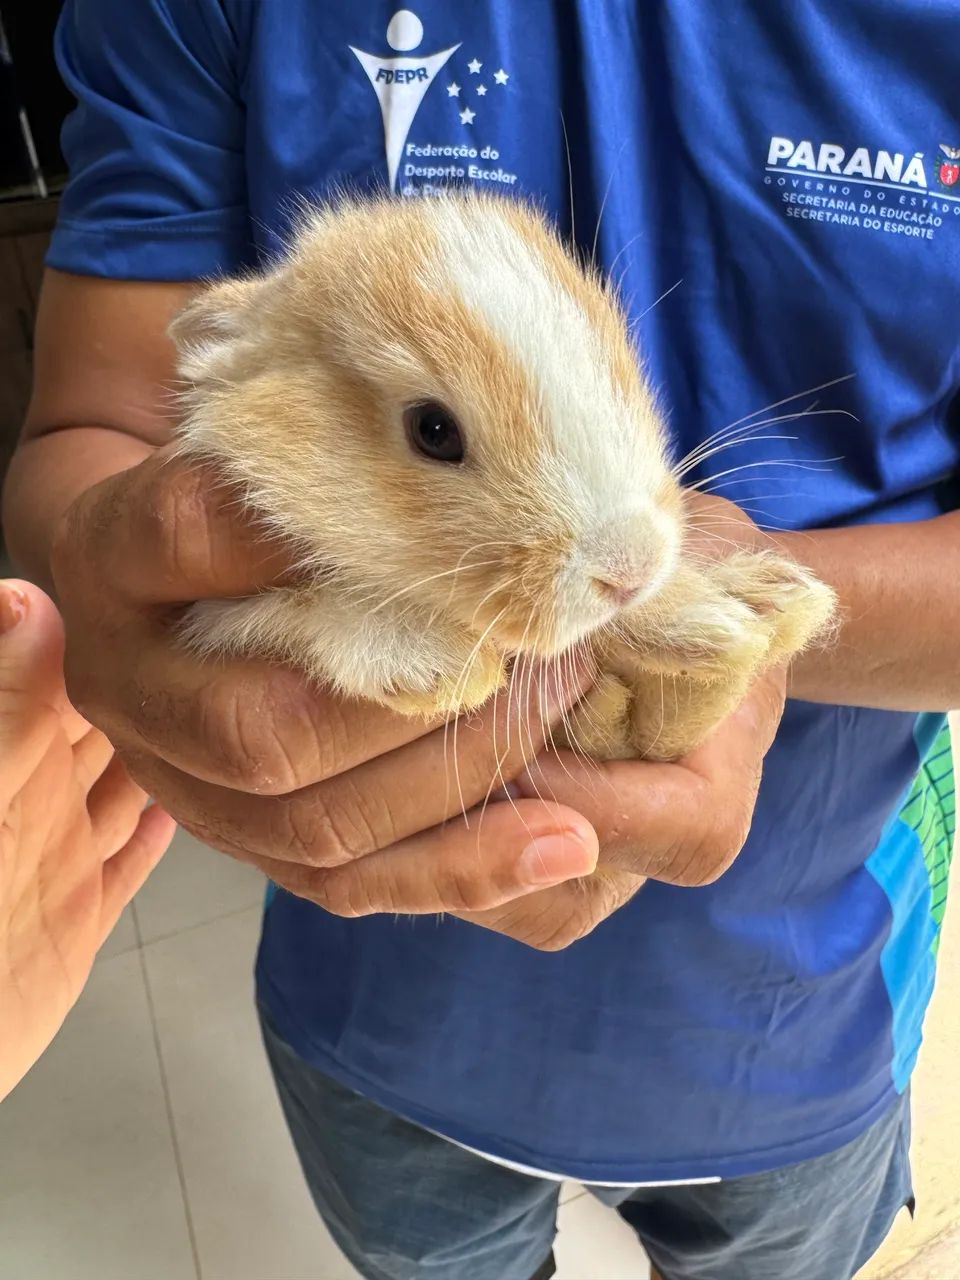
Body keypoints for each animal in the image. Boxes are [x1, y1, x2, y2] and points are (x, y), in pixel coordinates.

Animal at [169, 190, 835, 763]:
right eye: (433, 430)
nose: (632, 568)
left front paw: (724, 620)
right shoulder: (215, 618)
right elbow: (302, 611)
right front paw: (430, 666)